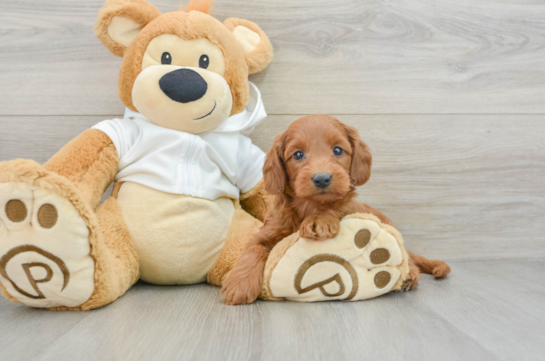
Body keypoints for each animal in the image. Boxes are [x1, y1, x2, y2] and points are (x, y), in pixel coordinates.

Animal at [221, 114, 450, 304]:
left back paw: (409, 275)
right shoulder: (267, 232)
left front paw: (319, 220)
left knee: (406, 257)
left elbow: (336, 206)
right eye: (298, 155)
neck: (308, 205)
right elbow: (253, 249)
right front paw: (239, 284)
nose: (322, 178)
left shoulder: (346, 208)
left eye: (338, 150)